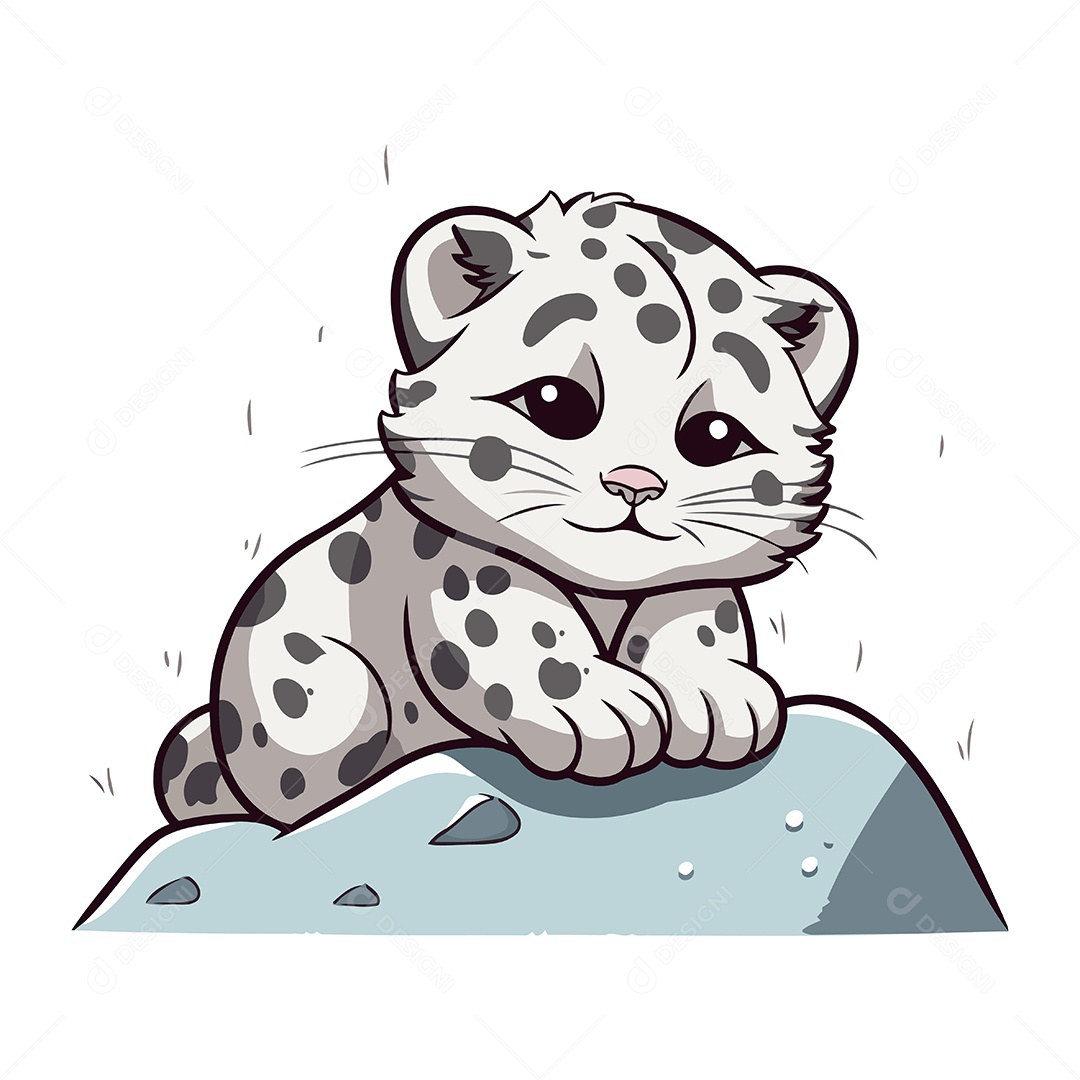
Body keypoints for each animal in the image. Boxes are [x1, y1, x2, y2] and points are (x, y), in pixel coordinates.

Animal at [154, 189, 857, 832]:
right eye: (555, 401)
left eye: (715, 436)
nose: (635, 484)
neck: (601, 591)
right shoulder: (464, 576)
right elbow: (522, 630)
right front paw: (596, 705)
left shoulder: (690, 587)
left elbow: (698, 621)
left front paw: (717, 692)